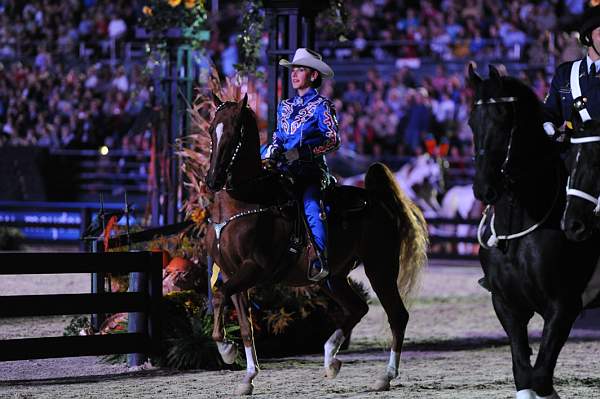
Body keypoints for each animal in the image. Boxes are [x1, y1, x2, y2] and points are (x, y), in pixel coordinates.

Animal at [204, 94, 428, 396]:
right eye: (211, 130)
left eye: (232, 133)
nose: (213, 180)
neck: (245, 202)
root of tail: (379, 201)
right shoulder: (233, 273)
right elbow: (243, 323)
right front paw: (246, 375)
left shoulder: (254, 268)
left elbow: (221, 294)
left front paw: (226, 350)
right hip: (333, 278)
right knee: (358, 309)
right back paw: (331, 359)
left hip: (380, 268)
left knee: (397, 315)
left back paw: (385, 376)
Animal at [468, 64, 600, 398]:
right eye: (471, 121)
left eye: (504, 118)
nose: (483, 188)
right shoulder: (507, 306)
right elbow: (523, 373)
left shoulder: (563, 307)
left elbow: (540, 377)